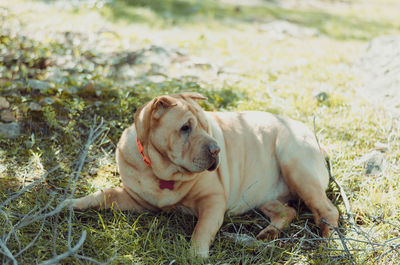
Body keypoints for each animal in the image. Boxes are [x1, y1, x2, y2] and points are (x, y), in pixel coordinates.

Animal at [70, 92, 340, 256]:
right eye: (185, 128)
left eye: (206, 126)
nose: (216, 149)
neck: (163, 174)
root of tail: (317, 141)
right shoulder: (136, 199)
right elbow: (104, 194)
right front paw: (73, 203)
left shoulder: (212, 201)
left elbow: (202, 229)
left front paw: (195, 254)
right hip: (261, 196)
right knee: (288, 211)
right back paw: (269, 232)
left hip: (296, 165)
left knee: (328, 211)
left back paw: (329, 242)